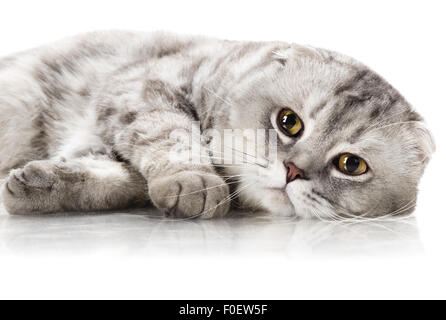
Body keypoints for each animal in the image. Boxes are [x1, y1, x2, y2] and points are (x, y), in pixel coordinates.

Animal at [0, 30, 434, 220]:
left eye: (351, 165)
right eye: (288, 122)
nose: (293, 171)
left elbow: (115, 182)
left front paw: (40, 184)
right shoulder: (140, 88)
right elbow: (173, 134)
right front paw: (195, 181)